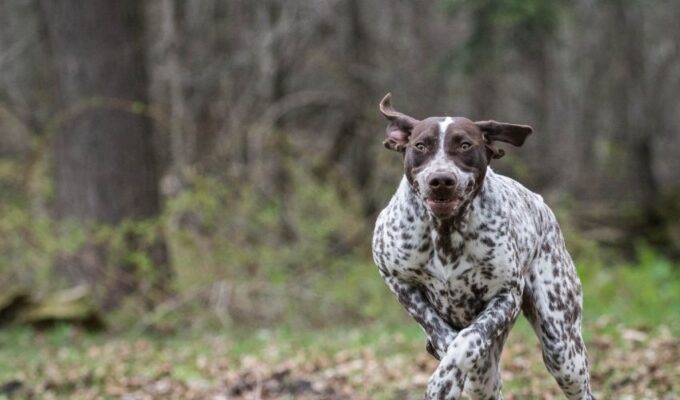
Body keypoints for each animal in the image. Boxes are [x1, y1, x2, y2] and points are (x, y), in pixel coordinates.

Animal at [372, 94, 596, 400]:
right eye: (421, 145)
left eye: (465, 145)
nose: (441, 180)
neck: (445, 232)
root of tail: (540, 203)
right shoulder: (397, 279)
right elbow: (439, 330)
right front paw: (443, 362)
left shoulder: (506, 296)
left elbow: (467, 340)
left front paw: (444, 378)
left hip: (562, 348)